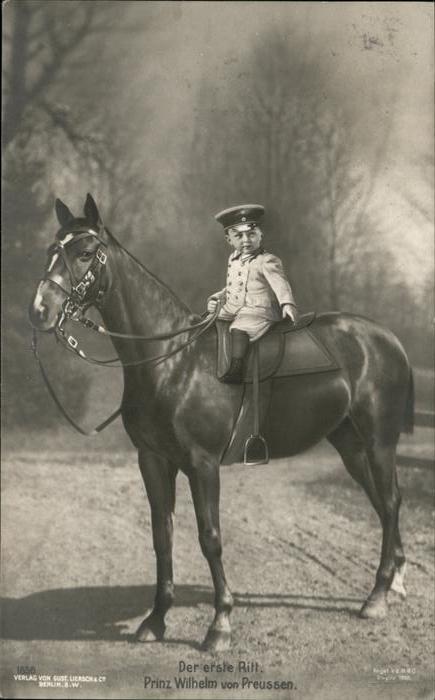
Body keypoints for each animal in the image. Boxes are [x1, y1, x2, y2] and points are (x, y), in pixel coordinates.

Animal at [29, 194, 413, 652]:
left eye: (85, 254)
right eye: (52, 251)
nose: (40, 311)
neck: (173, 361)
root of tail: (387, 339)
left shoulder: (203, 465)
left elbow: (209, 538)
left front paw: (220, 625)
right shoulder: (153, 461)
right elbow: (162, 536)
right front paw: (155, 620)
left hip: (378, 441)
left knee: (390, 503)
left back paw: (377, 597)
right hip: (350, 444)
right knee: (381, 502)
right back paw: (394, 582)